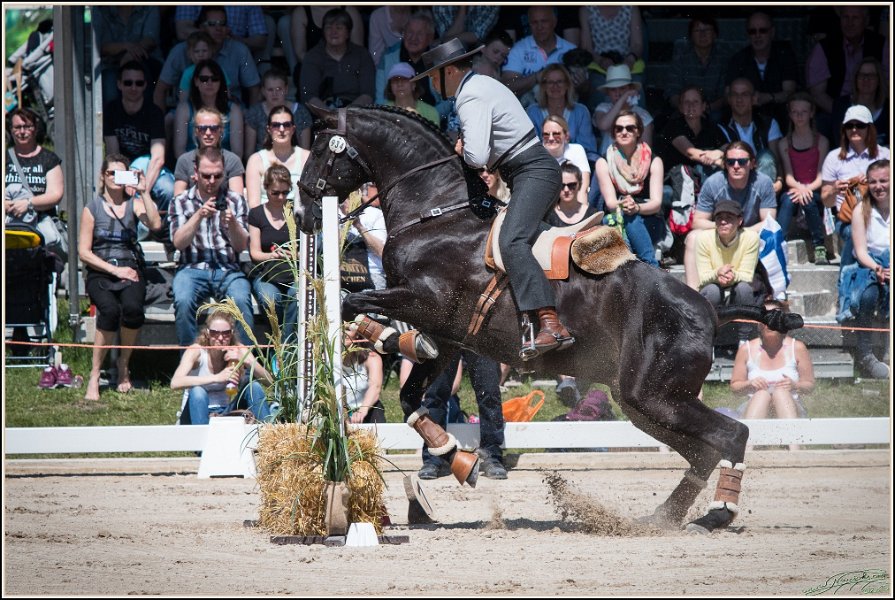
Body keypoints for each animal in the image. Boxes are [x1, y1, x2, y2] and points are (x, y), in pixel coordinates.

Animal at [296, 105, 802, 533]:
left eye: (320, 149)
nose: (301, 213)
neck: (436, 215)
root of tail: (708, 309)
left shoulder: (427, 302)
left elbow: (354, 301)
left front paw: (371, 333)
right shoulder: (450, 336)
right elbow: (411, 397)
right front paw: (457, 458)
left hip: (656, 396)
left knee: (730, 435)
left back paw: (716, 514)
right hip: (643, 403)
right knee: (701, 451)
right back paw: (664, 517)